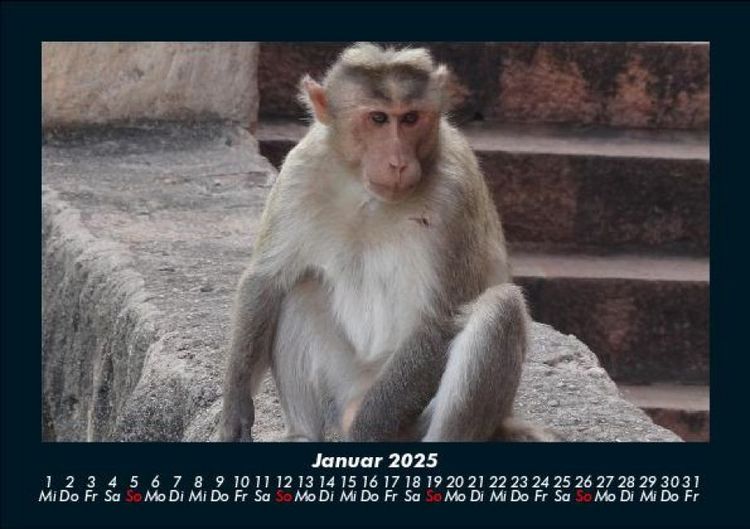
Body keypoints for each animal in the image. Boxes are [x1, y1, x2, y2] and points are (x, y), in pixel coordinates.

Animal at [221, 42, 553, 442]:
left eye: (410, 119)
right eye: (378, 119)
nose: (397, 162)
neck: (367, 193)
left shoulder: (455, 190)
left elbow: (437, 321)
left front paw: (363, 436)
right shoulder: (302, 166)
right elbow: (267, 279)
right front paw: (235, 408)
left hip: (411, 419)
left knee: (500, 308)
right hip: (343, 385)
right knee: (300, 288)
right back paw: (303, 433)